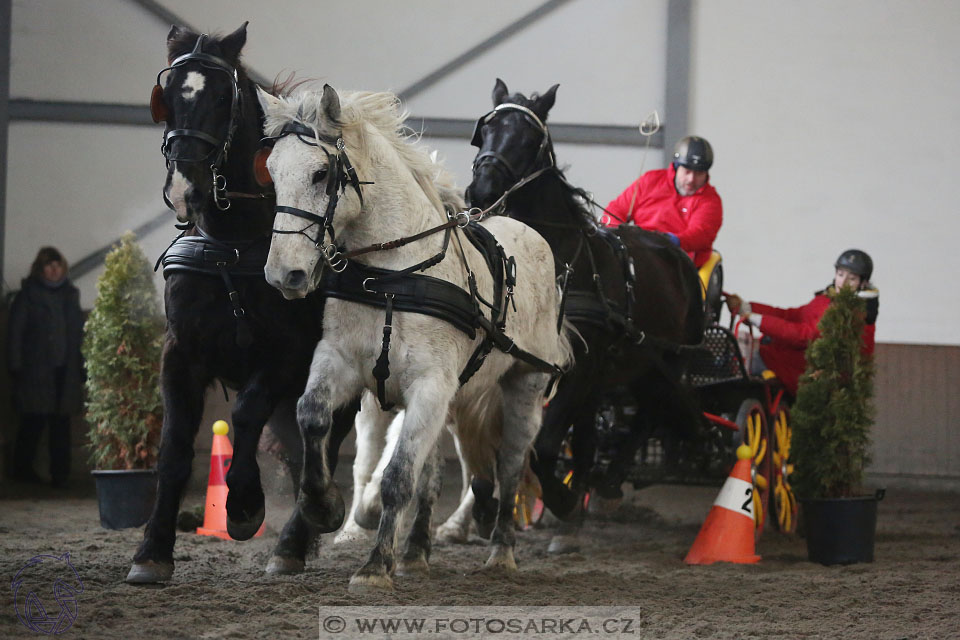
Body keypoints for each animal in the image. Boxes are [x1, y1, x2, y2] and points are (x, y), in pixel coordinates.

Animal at [255, 87, 568, 592]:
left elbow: (399, 475)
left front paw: (374, 566)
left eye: (321, 174)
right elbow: (312, 415)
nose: (285, 274)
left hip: (524, 385)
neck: (393, 277)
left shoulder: (430, 384)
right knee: (435, 474)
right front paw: (324, 509)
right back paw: (417, 552)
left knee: (510, 465)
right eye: (273, 174)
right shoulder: (342, 362)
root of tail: (532, 236)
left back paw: (500, 552)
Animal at [466, 79, 704, 552]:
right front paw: (486, 505)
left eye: (530, 139)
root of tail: (677, 254)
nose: (481, 189)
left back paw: (604, 486)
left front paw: (562, 501)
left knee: (648, 416)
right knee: (593, 431)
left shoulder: (576, 366)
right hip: (614, 370)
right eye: (486, 132)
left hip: (665, 363)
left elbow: (543, 446)